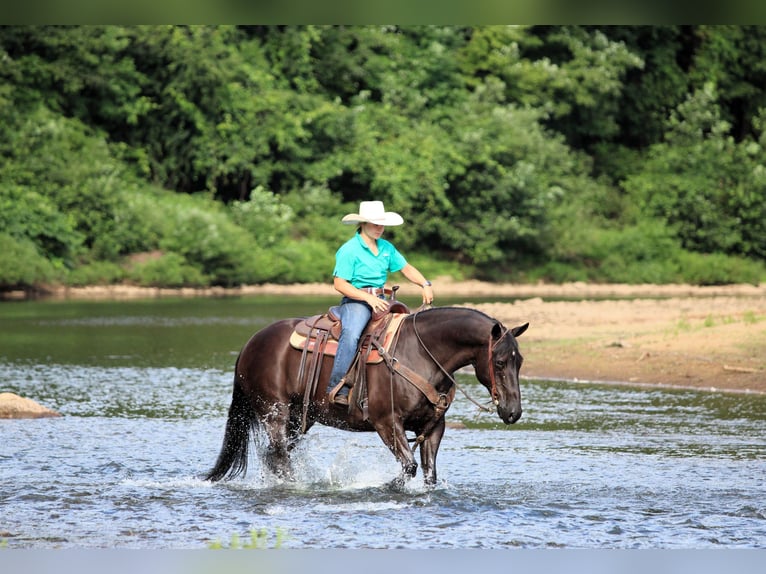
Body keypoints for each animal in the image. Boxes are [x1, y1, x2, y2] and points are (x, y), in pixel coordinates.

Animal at [204, 306, 528, 487]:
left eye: (520, 361)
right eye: (500, 362)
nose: (513, 411)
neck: (421, 354)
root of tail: (251, 343)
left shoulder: (434, 427)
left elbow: (428, 473)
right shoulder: (387, 423)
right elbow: (408, 467)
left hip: (299, 419)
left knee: (276, 455)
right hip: (275, 412)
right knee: (281, 456)